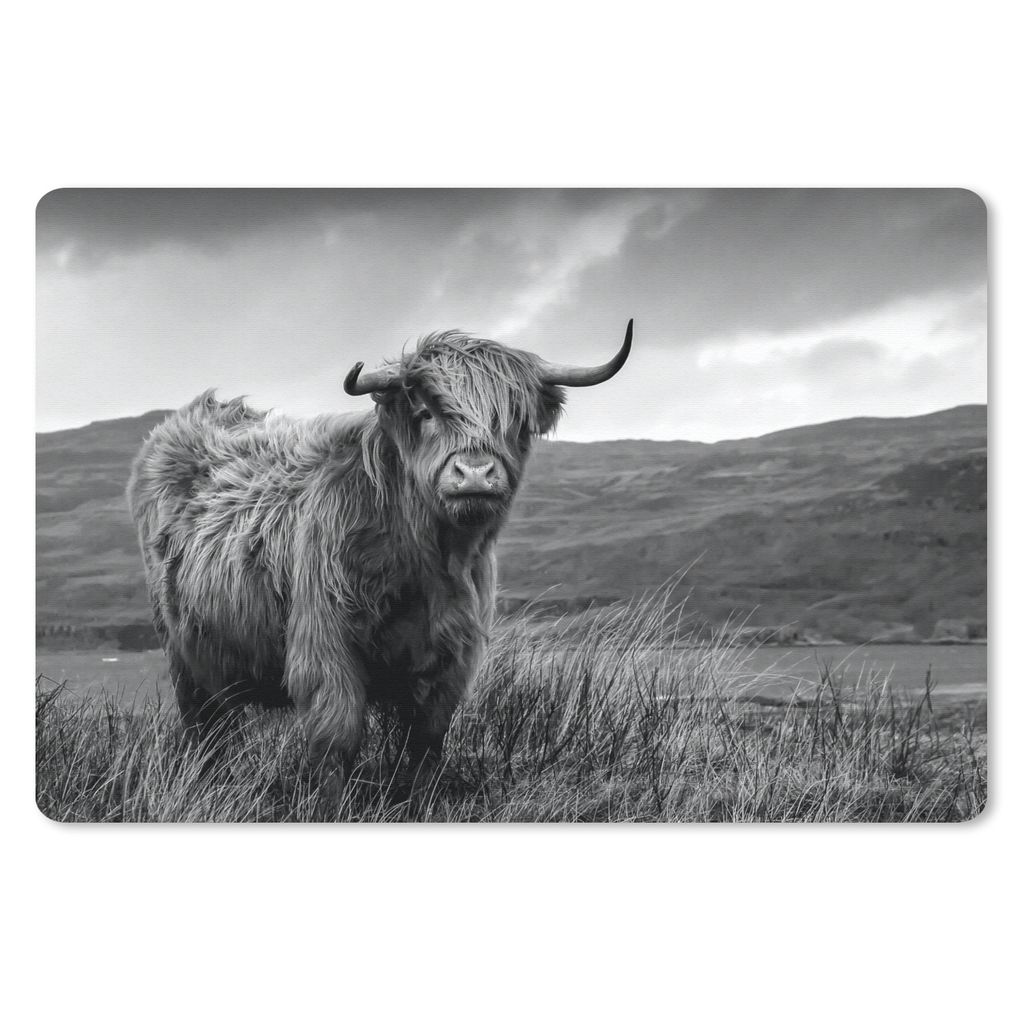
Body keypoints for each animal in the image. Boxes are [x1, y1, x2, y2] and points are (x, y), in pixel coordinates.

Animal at [127, 320, 633, 776]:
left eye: (515, 420)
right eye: (427, 412)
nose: (474, 474)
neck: (428, 561)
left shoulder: (450, 660)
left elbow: (426, 747)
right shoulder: (325, 647)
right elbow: (336, 743)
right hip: (184, 656)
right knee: (205, 729)